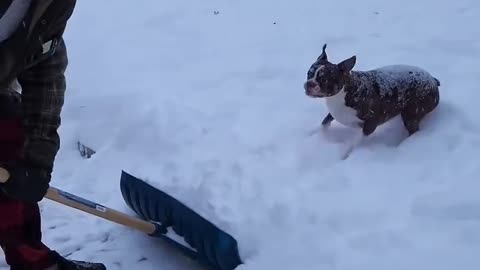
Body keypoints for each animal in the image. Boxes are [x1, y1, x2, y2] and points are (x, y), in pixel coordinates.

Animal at [306, 43, 440, 159]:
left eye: (324, 79)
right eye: (309, 74)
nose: (309, 84)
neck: (341, 94)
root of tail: (433, 80)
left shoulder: (370, 124)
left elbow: (356, 142)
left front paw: (345, 155)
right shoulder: (334, 113)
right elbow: (324, 123)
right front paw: (314, 134)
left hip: (412, 113)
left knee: (413, 131)